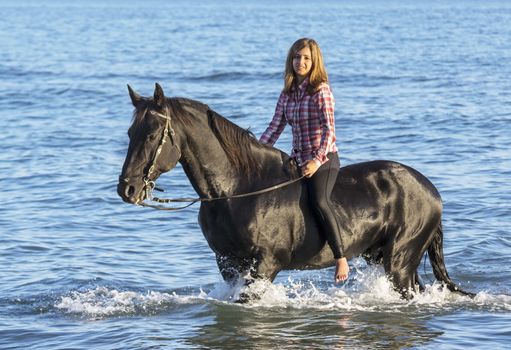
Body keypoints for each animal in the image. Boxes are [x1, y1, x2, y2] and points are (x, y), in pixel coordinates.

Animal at [118, 83, 474, 300]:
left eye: (152, 135)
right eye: (130, 132)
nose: (127, 189)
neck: (236, 191)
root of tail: (431, 190)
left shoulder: (265, 264)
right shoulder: (228, 263)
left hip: (400, 261)